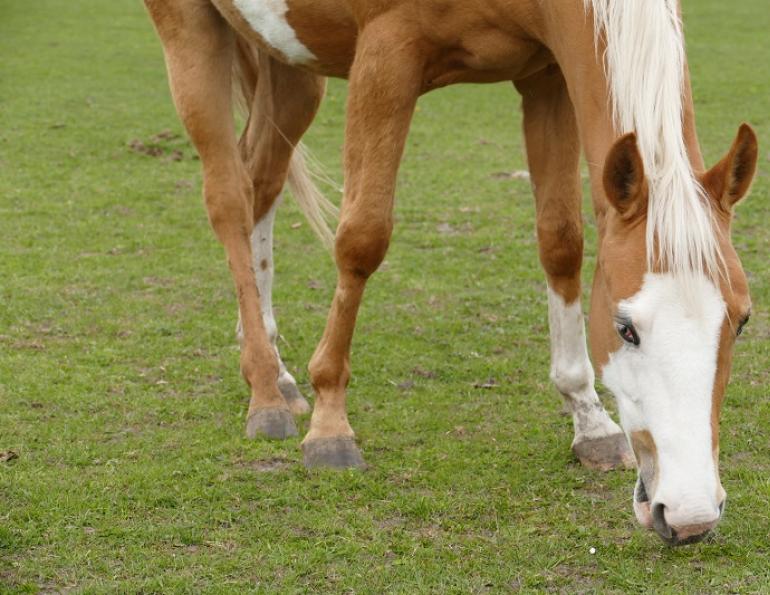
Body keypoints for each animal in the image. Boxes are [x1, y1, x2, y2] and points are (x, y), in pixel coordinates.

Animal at [143, 0, 758, 545]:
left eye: (742, 321)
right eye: (625, 327)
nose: (690, 515)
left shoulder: (547, 76)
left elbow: (561, 241)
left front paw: (589, 419)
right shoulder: (385, 57)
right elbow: (362, 239)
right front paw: (330, 424)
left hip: (290, 66)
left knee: (263, 179)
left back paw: (275, 368)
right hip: (192, 35)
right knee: (230, 198)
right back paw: (266, 393)